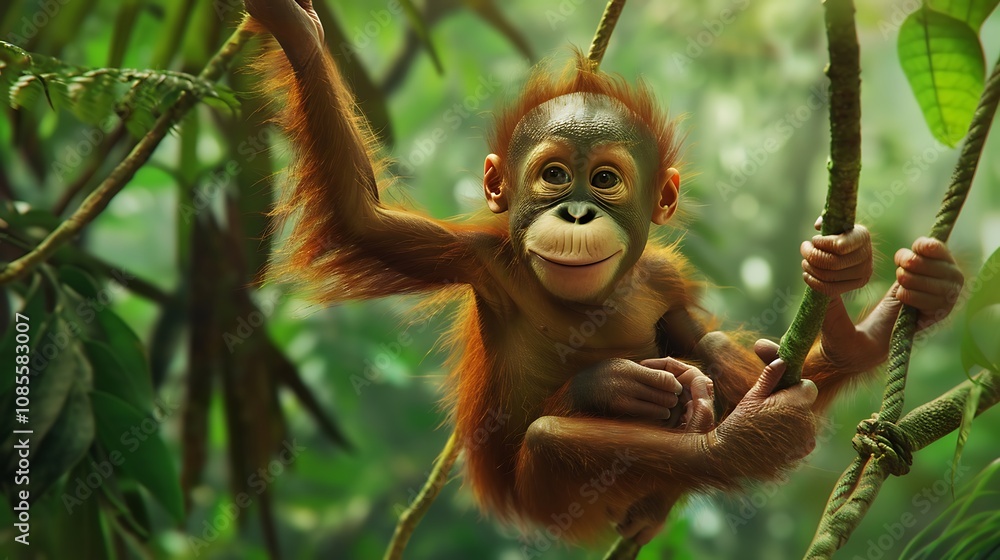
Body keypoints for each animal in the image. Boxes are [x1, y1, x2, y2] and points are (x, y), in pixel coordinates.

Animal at [242, 0, 965, 547]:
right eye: (555, 174)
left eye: (607, 180)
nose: (578, 210)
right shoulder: (479, 255)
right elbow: (359, 220)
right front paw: (297, 32)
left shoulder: (662, 277)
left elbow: (695, 328)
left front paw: (860, 296)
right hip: (545, 499)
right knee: (553, 438)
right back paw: (726, 437)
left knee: (706, 346)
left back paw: (840, 327)